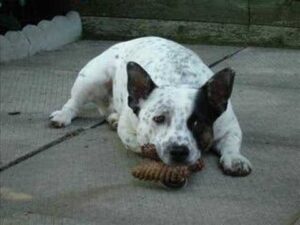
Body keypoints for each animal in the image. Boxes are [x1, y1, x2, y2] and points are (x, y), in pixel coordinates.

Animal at [50, 36, 252, 176]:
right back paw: (63, 115)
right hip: (91, 79)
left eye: (197, 123)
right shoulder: (129, 130)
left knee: (106, 108)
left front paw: (235, 158)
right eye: (159, 119)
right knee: (74, 102)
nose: (178, 150)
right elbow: (139, 143)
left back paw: (113, 117)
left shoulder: (229, 126)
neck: (180, 81)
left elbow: (232, 142)